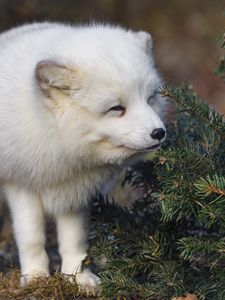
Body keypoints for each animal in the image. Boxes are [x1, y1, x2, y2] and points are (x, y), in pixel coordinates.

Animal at [0, 22, 165, 292]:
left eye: (150, 98)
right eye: (116, 108)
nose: (159, 133)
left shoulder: (75, 192)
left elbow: (74, 241)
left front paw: (77, 277)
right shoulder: (21, 184)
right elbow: (31, 238)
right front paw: (35, 277)